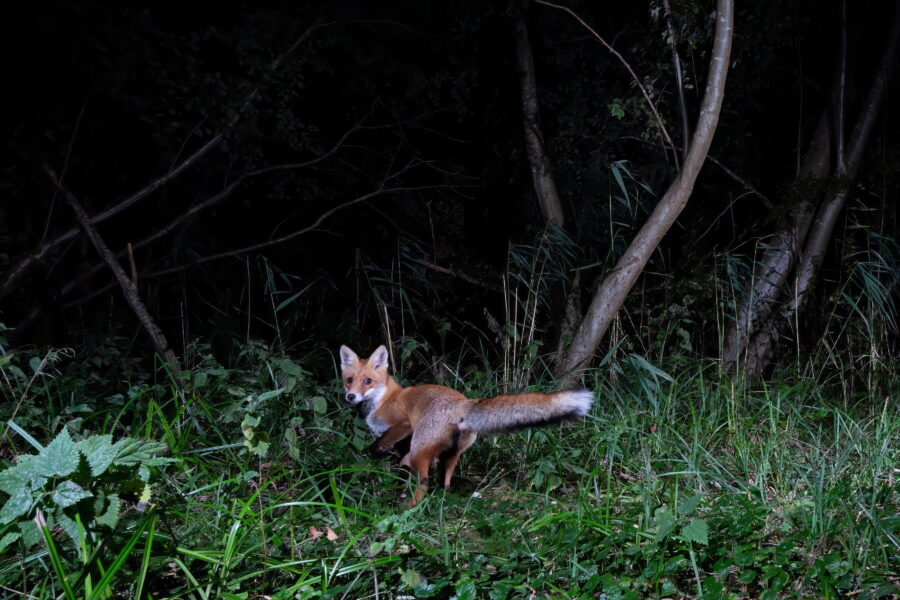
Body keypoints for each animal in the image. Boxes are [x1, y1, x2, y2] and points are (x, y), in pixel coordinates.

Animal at [339, 344, 593, 506]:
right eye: (349, 380)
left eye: (368, 381)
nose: (350, 396)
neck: (383, 398)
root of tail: (463, 402)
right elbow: (396, 458)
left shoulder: (402, 424)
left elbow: (378, 445)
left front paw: (379, 455)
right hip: (452, 453)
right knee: (446, 480)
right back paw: (443, 498)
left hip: (420, 446)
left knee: (424, 484)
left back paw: (409, 507)